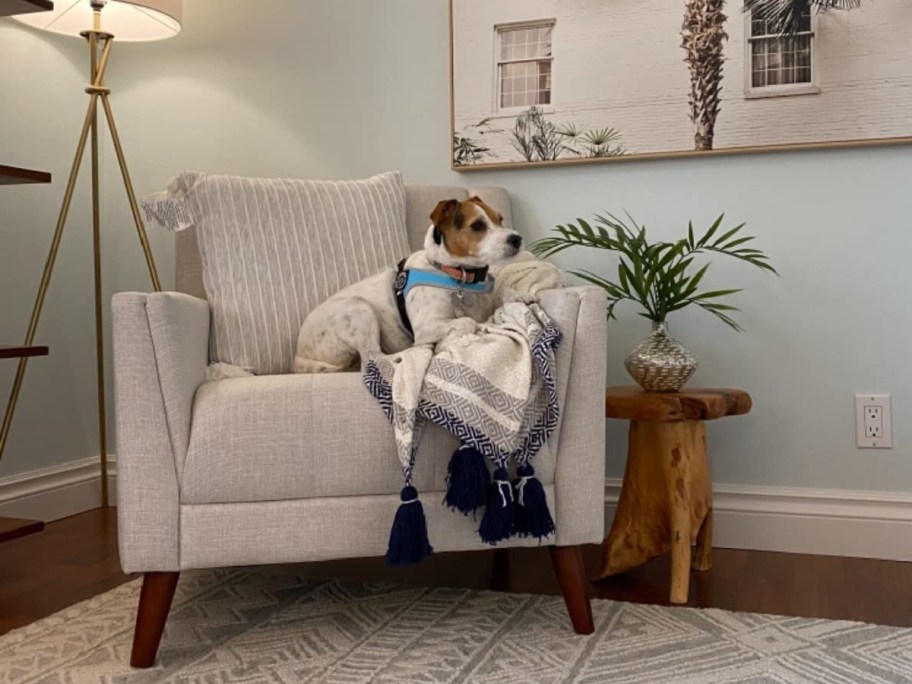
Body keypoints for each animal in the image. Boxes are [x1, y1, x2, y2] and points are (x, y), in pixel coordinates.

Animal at [292, 195, 520, 376]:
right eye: (477, 225)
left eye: (500, 219)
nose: (517, 238)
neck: (456, 276)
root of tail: (299, 355)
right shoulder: (425, 327)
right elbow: (467, 321)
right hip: (358, 308)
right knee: (372, 359)